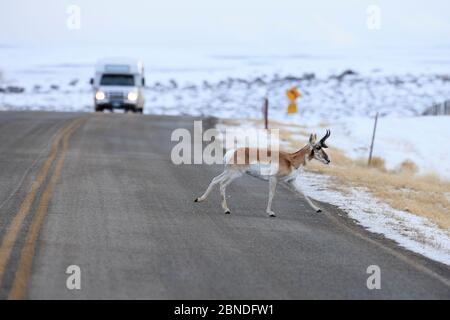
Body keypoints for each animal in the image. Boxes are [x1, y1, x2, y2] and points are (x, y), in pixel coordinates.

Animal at [193, 129, 330, 216]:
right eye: (318, 147)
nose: (328, 160)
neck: (291, 159)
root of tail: (233, 152)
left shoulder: (292, 181)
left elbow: (304, 194)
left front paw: (318, 209)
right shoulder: (273, 179)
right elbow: (271, 194)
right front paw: (270, 212)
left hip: (228, 172)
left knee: (215, 180)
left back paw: (199, 199)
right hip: (235, 174)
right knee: (222, 184)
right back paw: (226, 210)